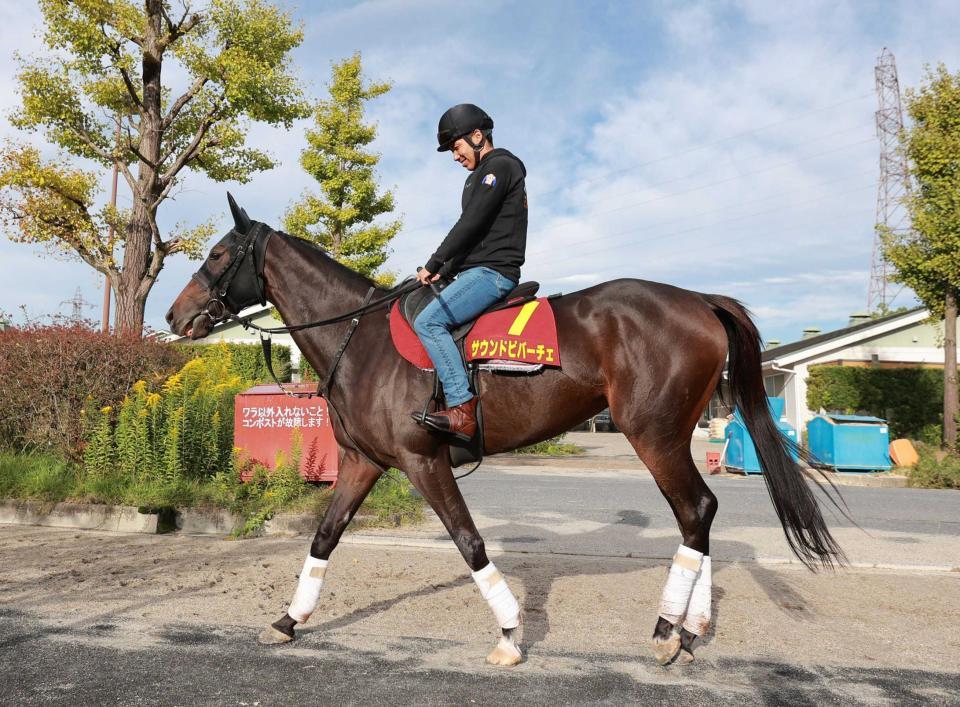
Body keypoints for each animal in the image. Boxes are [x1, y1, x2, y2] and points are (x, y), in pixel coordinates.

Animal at [169, 195, 844, 668]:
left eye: (219, 255)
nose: (176, 316)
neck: (360, 339)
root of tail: (697, 299)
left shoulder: (423, 462)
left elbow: (470, 544)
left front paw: (511, 635)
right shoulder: (364, 463)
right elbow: (324, 538)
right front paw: (288, 620)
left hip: (652, 436)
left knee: (696, 510)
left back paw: (664, 632)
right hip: (669, 437)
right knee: (696, 518)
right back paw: (689, 628)